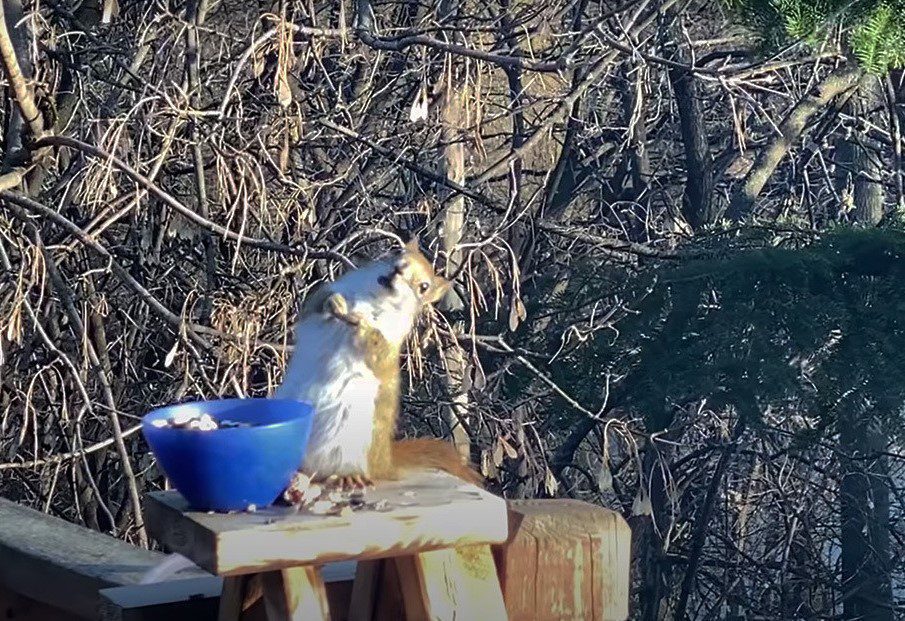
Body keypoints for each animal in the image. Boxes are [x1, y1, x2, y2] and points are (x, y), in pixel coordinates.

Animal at [274, 237, 481, 489]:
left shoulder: (391, 342)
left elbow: (377, 351)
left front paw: (363, 325)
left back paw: (347, 476)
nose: (398, 270)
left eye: (424, 287)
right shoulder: (323, 296)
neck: (374, 297)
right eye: (397, 252)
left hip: (348, 444)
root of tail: (383, 462)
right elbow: (316, 303)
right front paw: (335, 303)